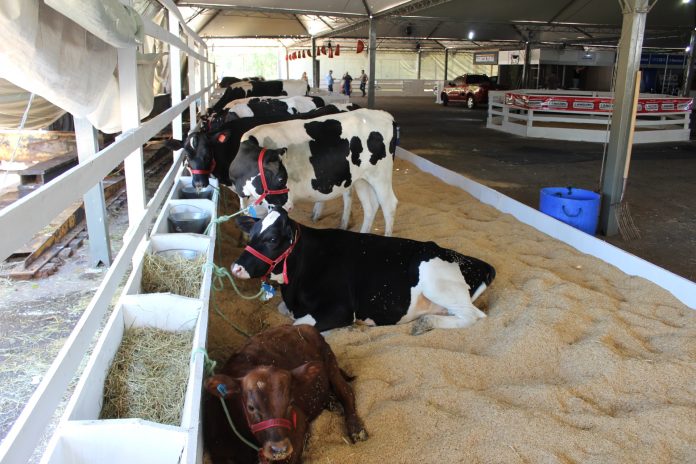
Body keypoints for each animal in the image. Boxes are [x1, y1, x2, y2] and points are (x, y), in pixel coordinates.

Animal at [204, 324, 367, 464]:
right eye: (250, 407)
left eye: (290, 403)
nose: (279, 449)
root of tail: (297, 326)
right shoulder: (218, 451)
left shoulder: (298, 426)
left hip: (330, 362)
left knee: (346, 392)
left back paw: (356, 430)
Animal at [228, 108, 399, 236]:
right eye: (280, 178)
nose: (288, 206)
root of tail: (385, 115)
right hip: (361, 179)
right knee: (370, 206)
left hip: (380, 176)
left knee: (389, 205)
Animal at [231, 207, 496, 335]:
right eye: (251, 234)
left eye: (272, 239)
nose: (236, 267)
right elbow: (283, 311)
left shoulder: (339, 308)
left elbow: (297, 325)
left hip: (436, 283)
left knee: (474, 316)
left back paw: (424, 324)